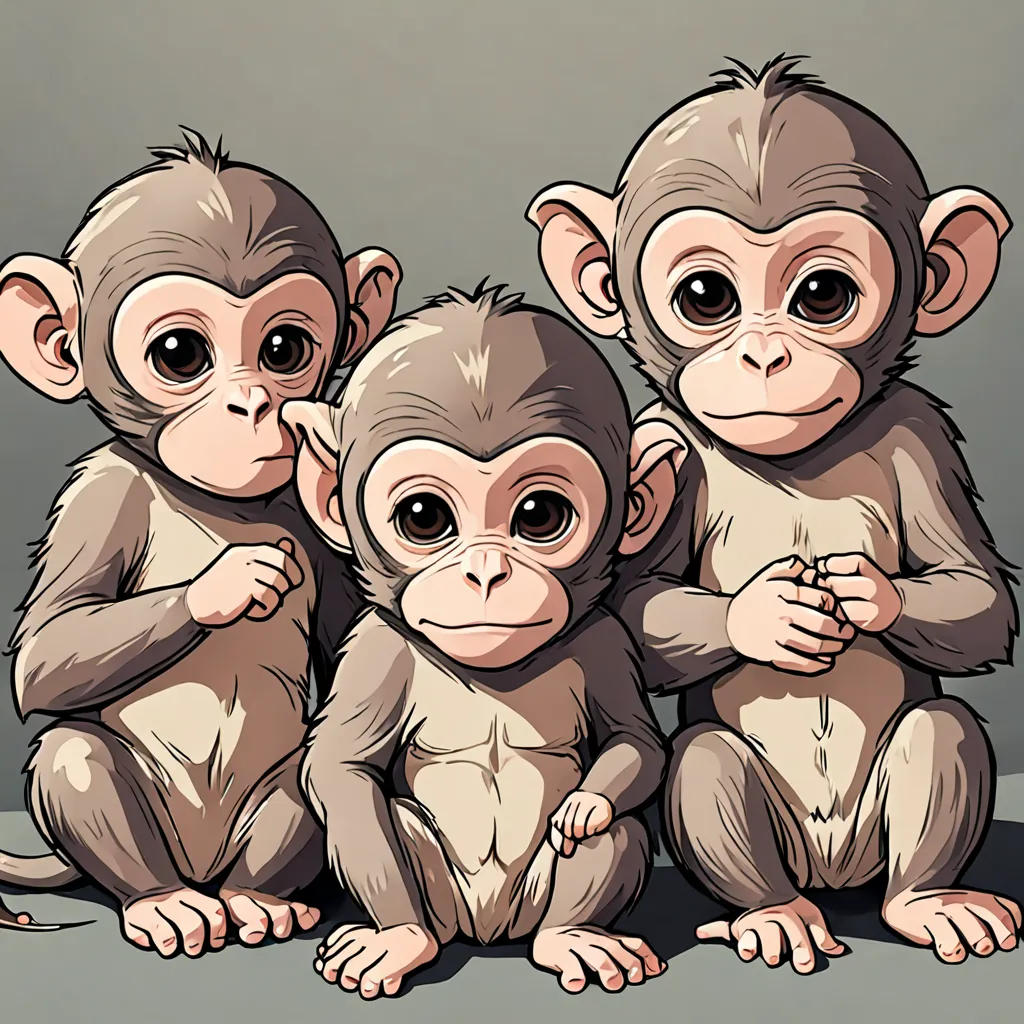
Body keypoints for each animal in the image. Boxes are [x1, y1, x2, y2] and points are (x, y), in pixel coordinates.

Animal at [0, 130, 401, 953]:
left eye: (284, 349)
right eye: (181, 354)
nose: (250, 404)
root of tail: (204, 869)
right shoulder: (99, 496)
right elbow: (46, 654)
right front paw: (229, 581)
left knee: (299, 788)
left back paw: (260, 900)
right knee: (73, 753)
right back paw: (159, 902)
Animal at [281, 283, 688, 998]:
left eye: (540, 516)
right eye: (424, 518)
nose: (486, 572)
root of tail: (492, 933)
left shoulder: (605, 642)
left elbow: (635, 744)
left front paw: (588, 801)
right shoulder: (378, 649)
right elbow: (342, 771)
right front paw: (396, 937)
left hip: (534, 903)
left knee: (613, 830)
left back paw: (571, 934)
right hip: (445, 902)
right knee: (394, 821)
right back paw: (410, 937)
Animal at [526, 55, 1023, 972]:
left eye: (822, 294)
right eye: (705, 295)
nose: (764, 354)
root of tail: (834, 875)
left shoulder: (923, 436)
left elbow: (979, 595)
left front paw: (868, 592)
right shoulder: (666, 438)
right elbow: (637, 606)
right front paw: (768, 613)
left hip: (884, 840)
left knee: (944, 732)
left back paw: (930, 901)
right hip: (754, 827)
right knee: (703, 763)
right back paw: (771, 914)